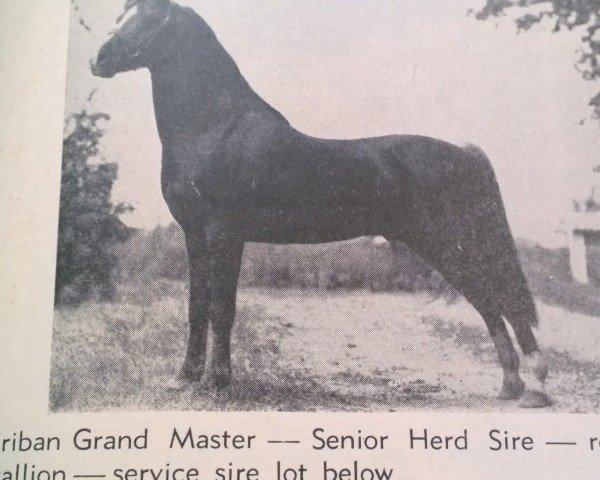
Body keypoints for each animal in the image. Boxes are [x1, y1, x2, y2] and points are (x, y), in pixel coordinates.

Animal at [90, 0, 552, 406]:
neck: (214, 127)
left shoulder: (225, 234)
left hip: (452, 243)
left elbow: (222, 308)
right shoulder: (194, 235)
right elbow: (196, 307)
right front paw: (184, 378)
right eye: (122, 14)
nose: (98, 59)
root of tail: (465, 154)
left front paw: (217, 382)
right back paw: (512, 385)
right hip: (443, 247)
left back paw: (535, 388)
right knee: (490, 302)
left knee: (503, 299)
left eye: (150, 19)